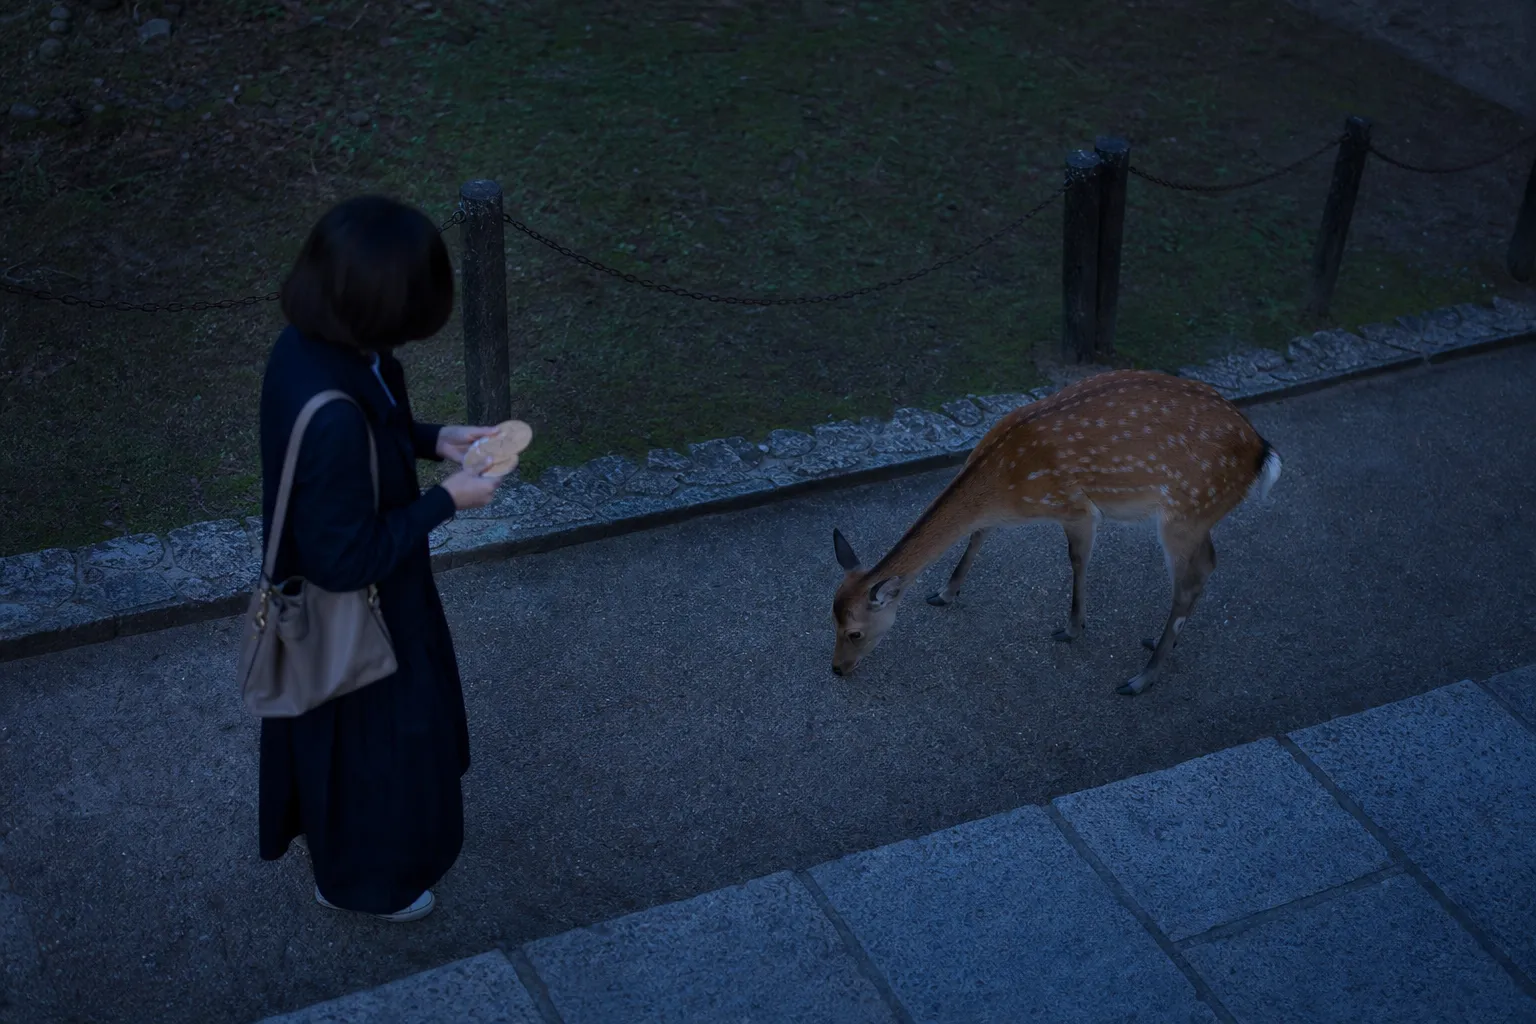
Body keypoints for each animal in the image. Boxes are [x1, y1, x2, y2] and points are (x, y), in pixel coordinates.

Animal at [829, 369, 1282, 696]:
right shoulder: (1000, 514)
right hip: (1198, 515)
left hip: (1186, 511)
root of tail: (1262, 451)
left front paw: (1072, 628)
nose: (836, 669)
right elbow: (979, 534)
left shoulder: (1076, 508)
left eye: (854, 632)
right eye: (828, 617)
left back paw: (1141, 678)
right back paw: (1162, 645)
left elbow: (1077, 560)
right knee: (1207, 564)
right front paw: (945, 592)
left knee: (1190, 579)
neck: (1004, 483)